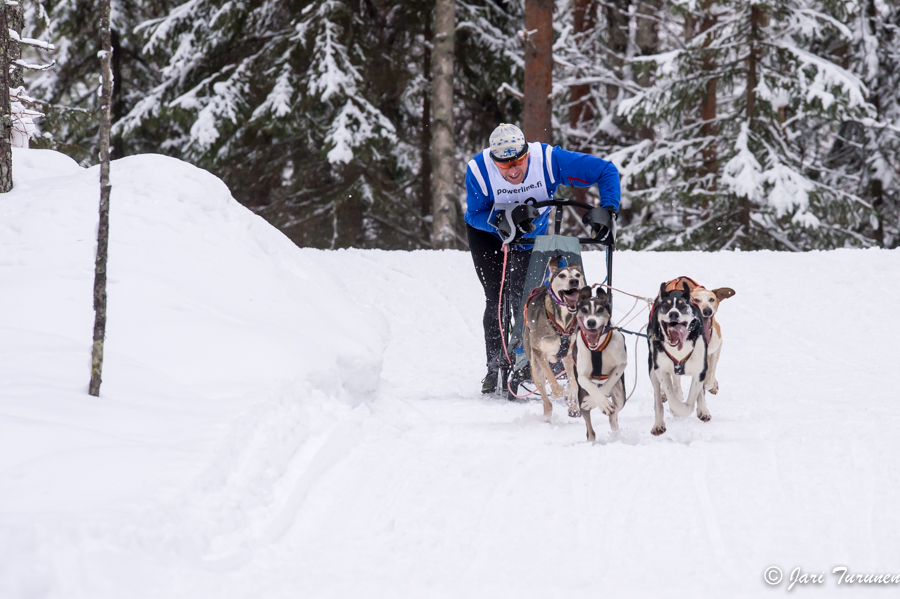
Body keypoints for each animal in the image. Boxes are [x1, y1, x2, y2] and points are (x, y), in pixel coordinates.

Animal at [520, 260, 584, 420]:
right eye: (562, 275)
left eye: (577, 275)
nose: (574, 281)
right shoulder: (539, 352)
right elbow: (553, 381)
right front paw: (561, 393)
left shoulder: (569, 354)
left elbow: (573, 383)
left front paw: (571, 397)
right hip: (535, 368)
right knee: (547, 402)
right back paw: (547, 419)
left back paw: (574, 407)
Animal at [572, 288, 628, 442]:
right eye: (584, 310)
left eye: (601, 309)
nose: (591, 322)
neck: (597, 349)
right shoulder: (582, 377)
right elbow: (592, 388)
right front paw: (599, 402)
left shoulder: (621, 364)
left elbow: (607, 385)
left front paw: (596, 402)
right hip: (580, 394)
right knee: (590, 430)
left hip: (620, 395)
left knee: (614, 415)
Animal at [648, 282, 712, 436]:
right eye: (666, 306)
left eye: (683, 306)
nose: (673, 313)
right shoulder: (660, 370)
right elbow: (672, 398)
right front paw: (675, 408)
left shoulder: (699, 370)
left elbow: (691, 401)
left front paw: (694, 408)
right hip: (652, 370)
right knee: (658, 400)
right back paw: (658, 424)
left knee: (699, 392)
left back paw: (703, 410)